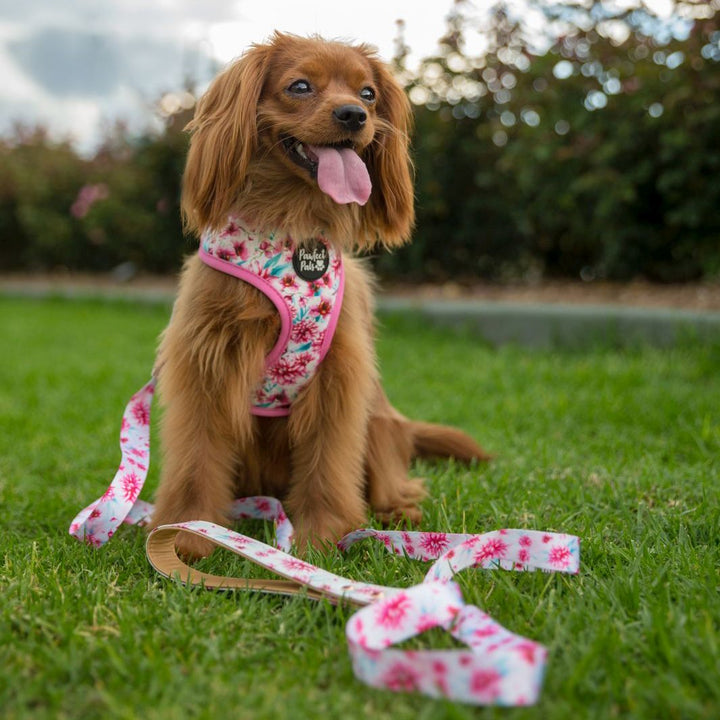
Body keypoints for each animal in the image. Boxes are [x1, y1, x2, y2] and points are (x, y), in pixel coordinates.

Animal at [151, 31, 490, 560]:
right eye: (300, 86)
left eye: (368, 93)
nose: (354, 115)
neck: (291, 230)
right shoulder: (207, 366)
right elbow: (196, 459)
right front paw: (186, 534)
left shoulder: (338, 376)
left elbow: (329, 465)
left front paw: (323, 536)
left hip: (379, 421)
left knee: (390, 477)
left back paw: (397, 513)